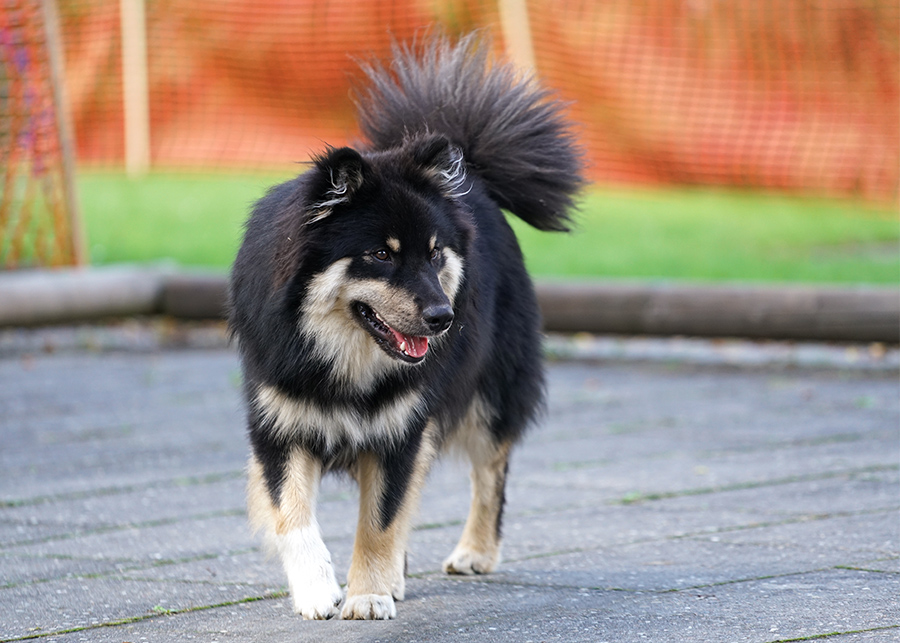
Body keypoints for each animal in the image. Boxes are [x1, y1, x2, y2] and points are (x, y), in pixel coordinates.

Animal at [229, 34, 584, 620]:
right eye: (381, 254)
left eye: (435, 253)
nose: (444, 318)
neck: (346, 359)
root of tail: (474, 176)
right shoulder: (279, 424)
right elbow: (292, 515)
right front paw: (318, 590)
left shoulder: (402, 427)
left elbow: (381, 519)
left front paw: (368, 595)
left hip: (491, 398)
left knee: (490, 474)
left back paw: (474, 552)